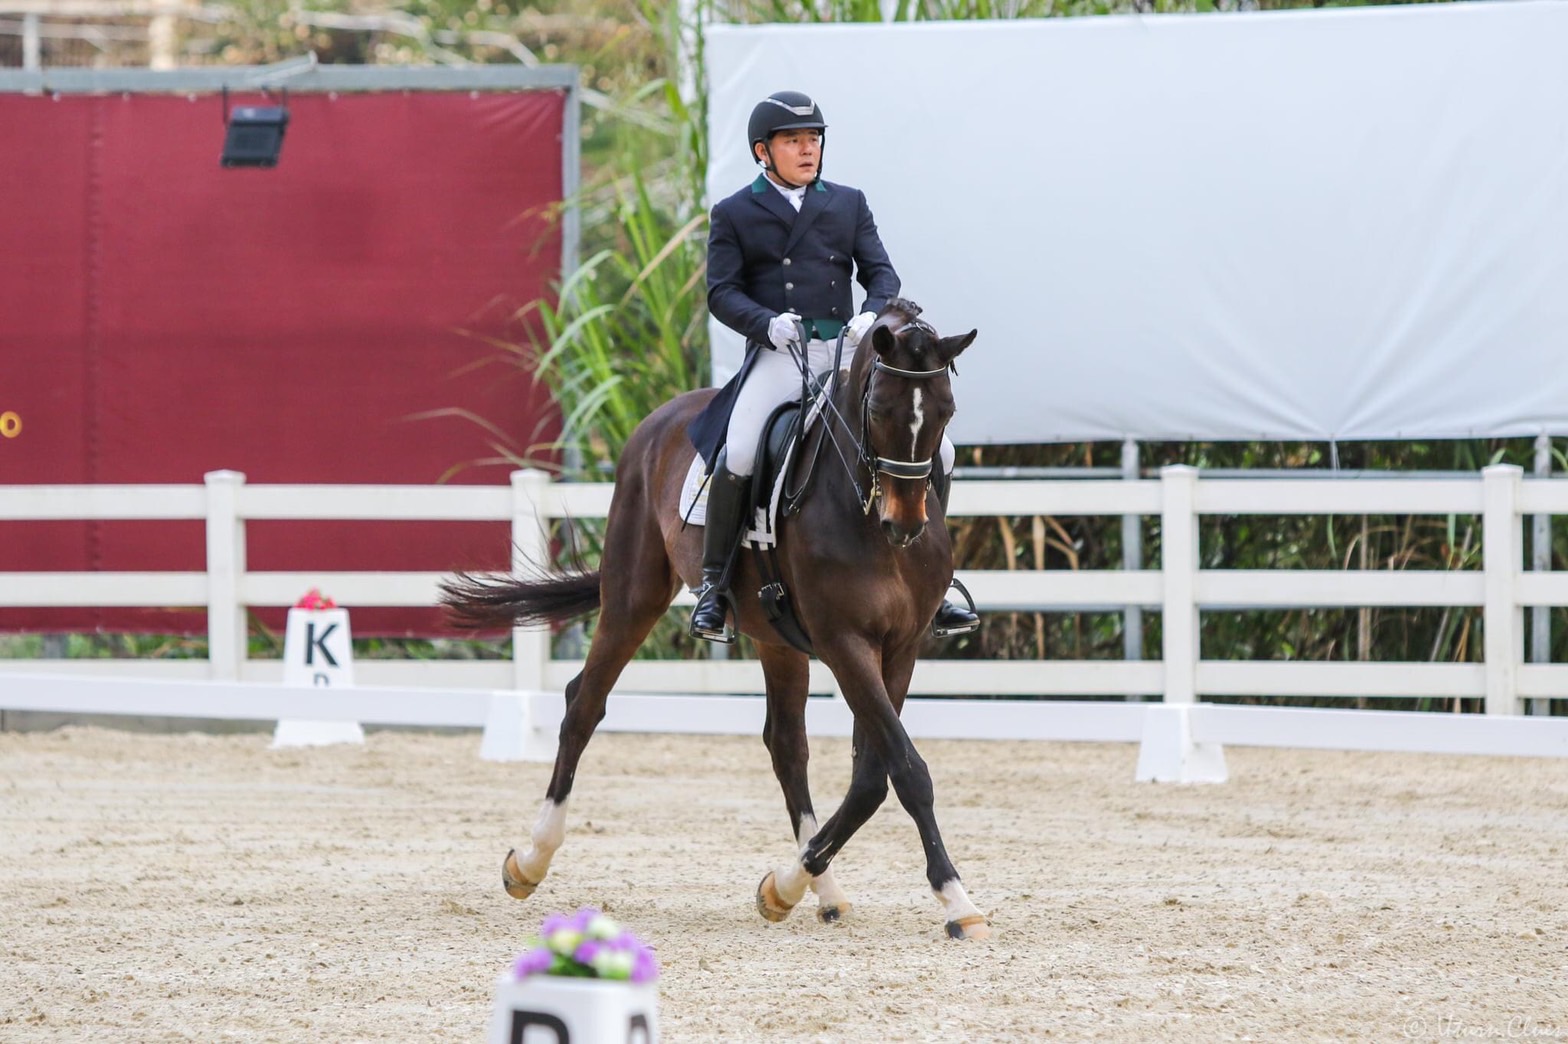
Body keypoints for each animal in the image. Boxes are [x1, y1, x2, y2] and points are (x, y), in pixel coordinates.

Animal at [442, 296, 984, 940]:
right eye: (878, 408)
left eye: (948, 412)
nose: (904, 524)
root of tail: (662, 418)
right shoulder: (845, 642)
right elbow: (903, 770)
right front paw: (956, 898)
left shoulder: (901, 646)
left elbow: (871, 776)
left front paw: (785, 885)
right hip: (634, 596)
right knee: (584, 704)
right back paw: (529, 862)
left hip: (778, 639)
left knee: (786, 746)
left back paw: (819, 890)